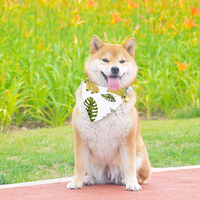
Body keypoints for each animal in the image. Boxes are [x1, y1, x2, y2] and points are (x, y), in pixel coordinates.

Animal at [66, 35, 151, 191]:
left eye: (122, 61)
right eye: (105, 60)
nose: (115, 68)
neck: (106, 99)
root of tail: (109, 177)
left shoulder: (127, 141)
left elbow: (129, 166)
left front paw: (131, 183)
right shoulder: (81, 141)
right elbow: (79, 166)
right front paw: (76, 182)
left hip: (141, 154)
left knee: (140, 175)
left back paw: (124, 180)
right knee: (89, 172)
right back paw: (88, 179)